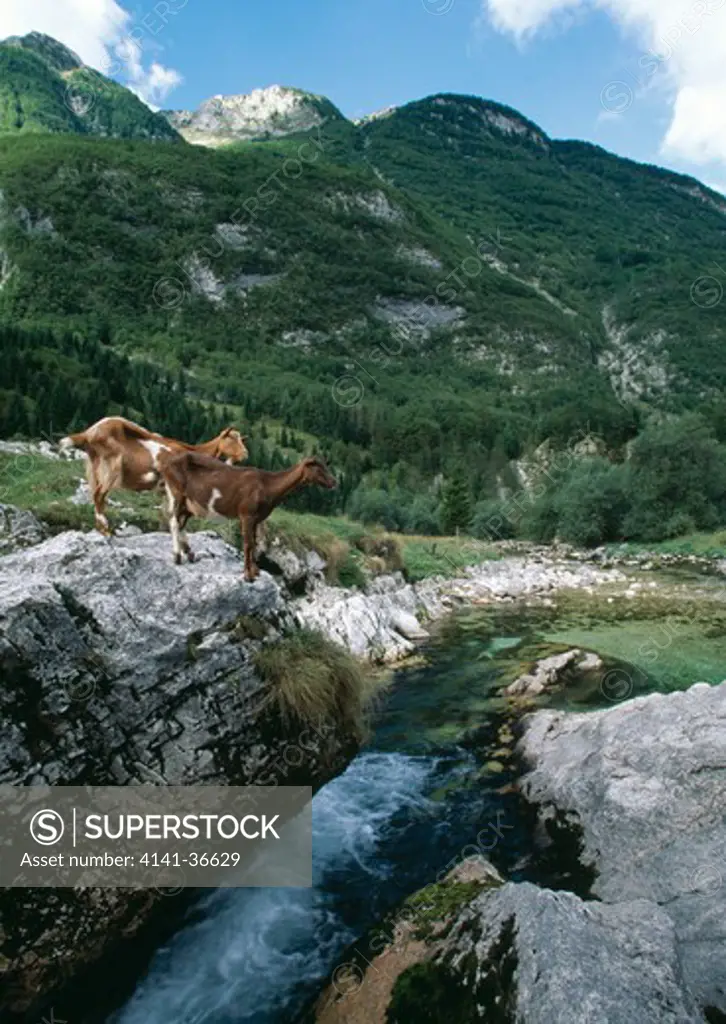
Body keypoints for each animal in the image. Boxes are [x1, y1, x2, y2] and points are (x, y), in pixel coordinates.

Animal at [58, 413, 248, 536]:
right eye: (231, 438)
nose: (245, 454)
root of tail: (89, 433)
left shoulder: (165, 490)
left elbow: (166, 512)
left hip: (94, 467)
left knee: (96, 494)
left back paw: (100, 528)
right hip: (112, 467)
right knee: (99, 494)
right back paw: (105, 530)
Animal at [159, 452, 335, 581]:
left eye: (326, 465)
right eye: (318, 468)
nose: (334, 482)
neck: (267, 485)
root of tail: (166, 464)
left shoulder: (257, 518)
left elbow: (255, 543)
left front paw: (256, 571)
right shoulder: (246, 515)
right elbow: (247, 544)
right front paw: (248, 576)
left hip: (189, 504)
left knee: (181, 524)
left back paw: (189, 554)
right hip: (176, 494)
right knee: (173, 522)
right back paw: (177, 557)